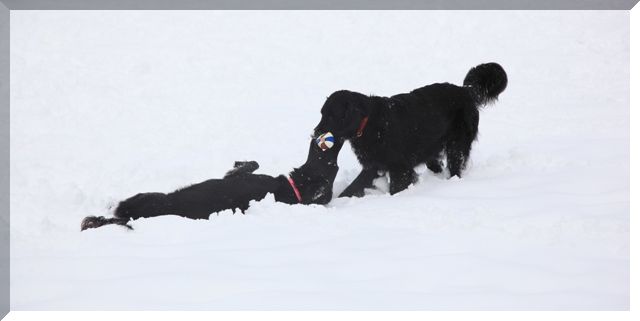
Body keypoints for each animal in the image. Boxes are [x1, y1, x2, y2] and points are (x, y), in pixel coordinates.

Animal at [83, 135, 348, 230]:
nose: (322, 139)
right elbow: (252, 163)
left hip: (147, 197)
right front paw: (241, 161)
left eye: (333, 168)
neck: (291, 190)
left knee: (115, 211)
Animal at [312, 61, 508, 194]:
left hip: (456, 145)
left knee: (455, 167)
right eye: (321, 114)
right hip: (431, 148)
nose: (315, 133)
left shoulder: (399, 167)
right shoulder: (374, 166)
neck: (369, 124)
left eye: (332, 116)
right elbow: (352, 188)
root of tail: (466, 90)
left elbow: (396, 187)